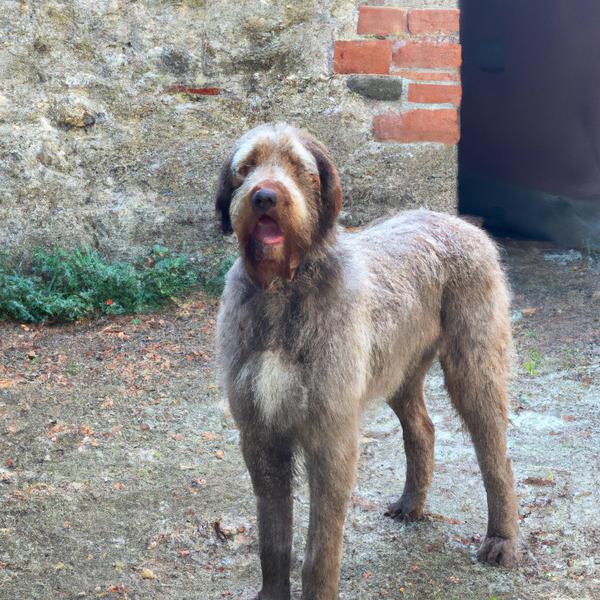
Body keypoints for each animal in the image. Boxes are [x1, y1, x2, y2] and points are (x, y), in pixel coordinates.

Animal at [213, 123, 516, 600]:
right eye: (247, 166)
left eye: (297, 165)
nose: (264, 197)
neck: (284, 289)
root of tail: (459, 223)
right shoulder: (260, 433)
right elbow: (273, 534)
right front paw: (273, 591)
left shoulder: (331, 435)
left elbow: (320, 547)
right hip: (399, 369)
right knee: (422, 429)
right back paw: (412, 504)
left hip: (474, 366)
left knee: (496, 455)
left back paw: (502, 540)